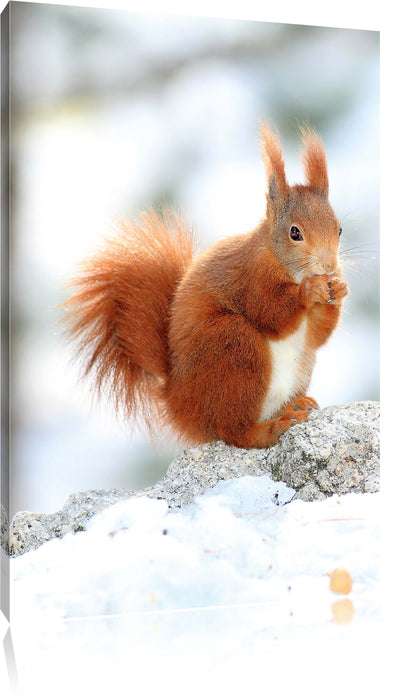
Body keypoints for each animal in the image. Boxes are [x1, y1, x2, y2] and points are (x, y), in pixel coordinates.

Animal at [63, 122, 349, 449]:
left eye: (340, 229)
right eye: (295, 233)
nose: (329, 266)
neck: (279, 260)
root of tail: (178, 403)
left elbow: (315, 336)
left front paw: (340, 289)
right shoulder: (250, 278)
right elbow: (271, 314)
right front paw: (309, 291)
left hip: (297, 365)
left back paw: (294, 404)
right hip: (233, 347)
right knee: (235, 431)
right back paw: (273, 428)